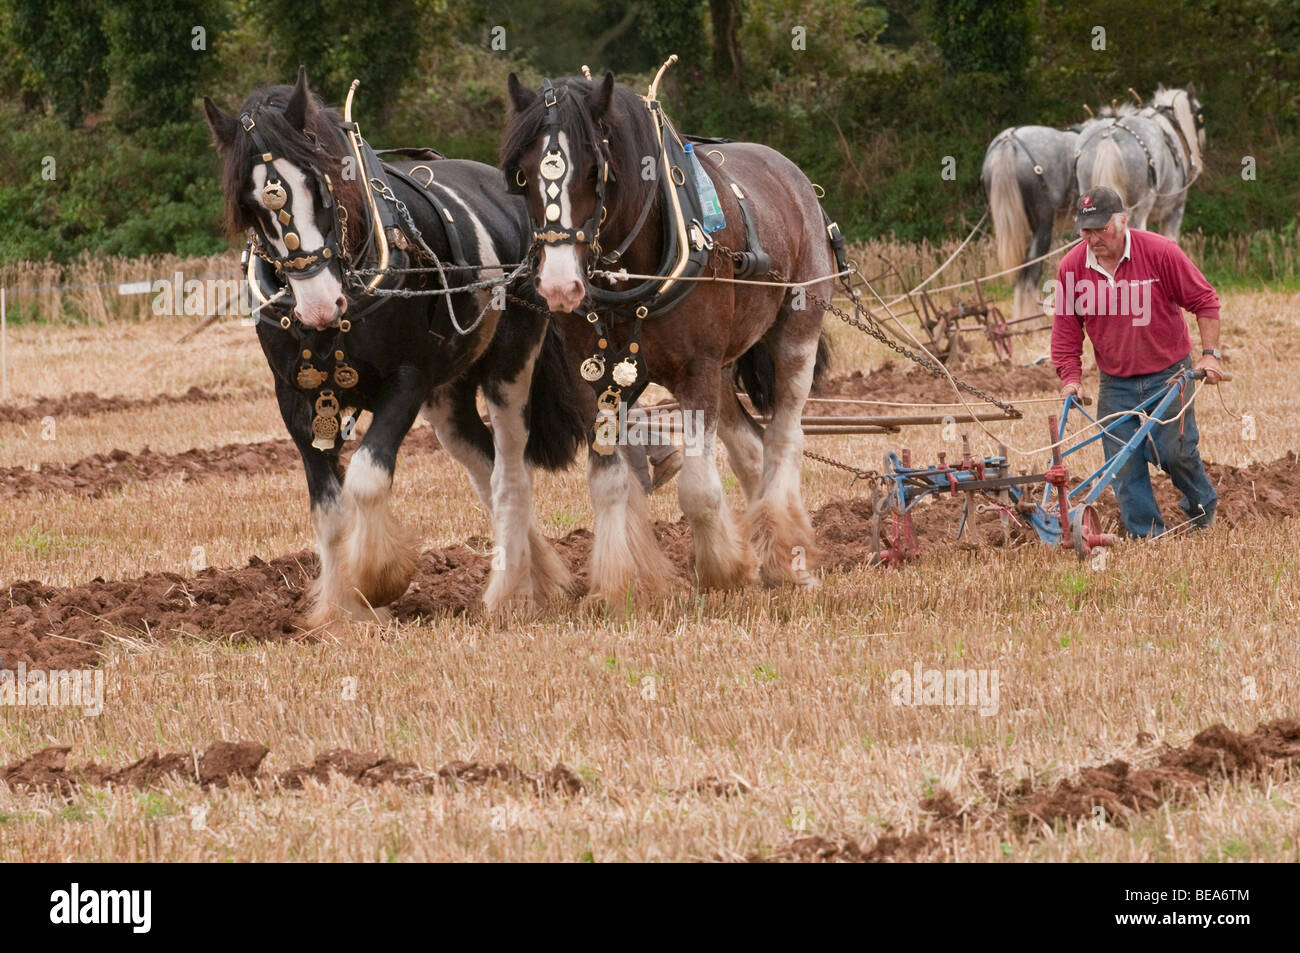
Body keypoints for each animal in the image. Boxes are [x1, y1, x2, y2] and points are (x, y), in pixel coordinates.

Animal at [204, 70, 585, 629]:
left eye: (319, 183)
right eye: (252, 207)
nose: (318, 304)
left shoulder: (407, 381)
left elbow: (365, 478)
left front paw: (377, 580)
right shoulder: (295, 398)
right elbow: (329, 510)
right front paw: (340, 612)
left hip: (509, 367)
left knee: (510, 473)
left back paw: (510, 592)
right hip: (448, 399)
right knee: (484, 466)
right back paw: (543, 578)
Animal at [501, 70, 837, 598]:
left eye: (595, 171)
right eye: (521, 174)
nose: (558, 285)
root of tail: (793, 177)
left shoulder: (696, 367)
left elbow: (697, 489)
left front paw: (723, 571)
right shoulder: (591, 378)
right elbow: (610, 483)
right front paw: (617, 585)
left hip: (795, 333)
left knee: (785, 437)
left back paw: (789, 559)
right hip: (723, 365)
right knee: (750, 449)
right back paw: (767, 547)